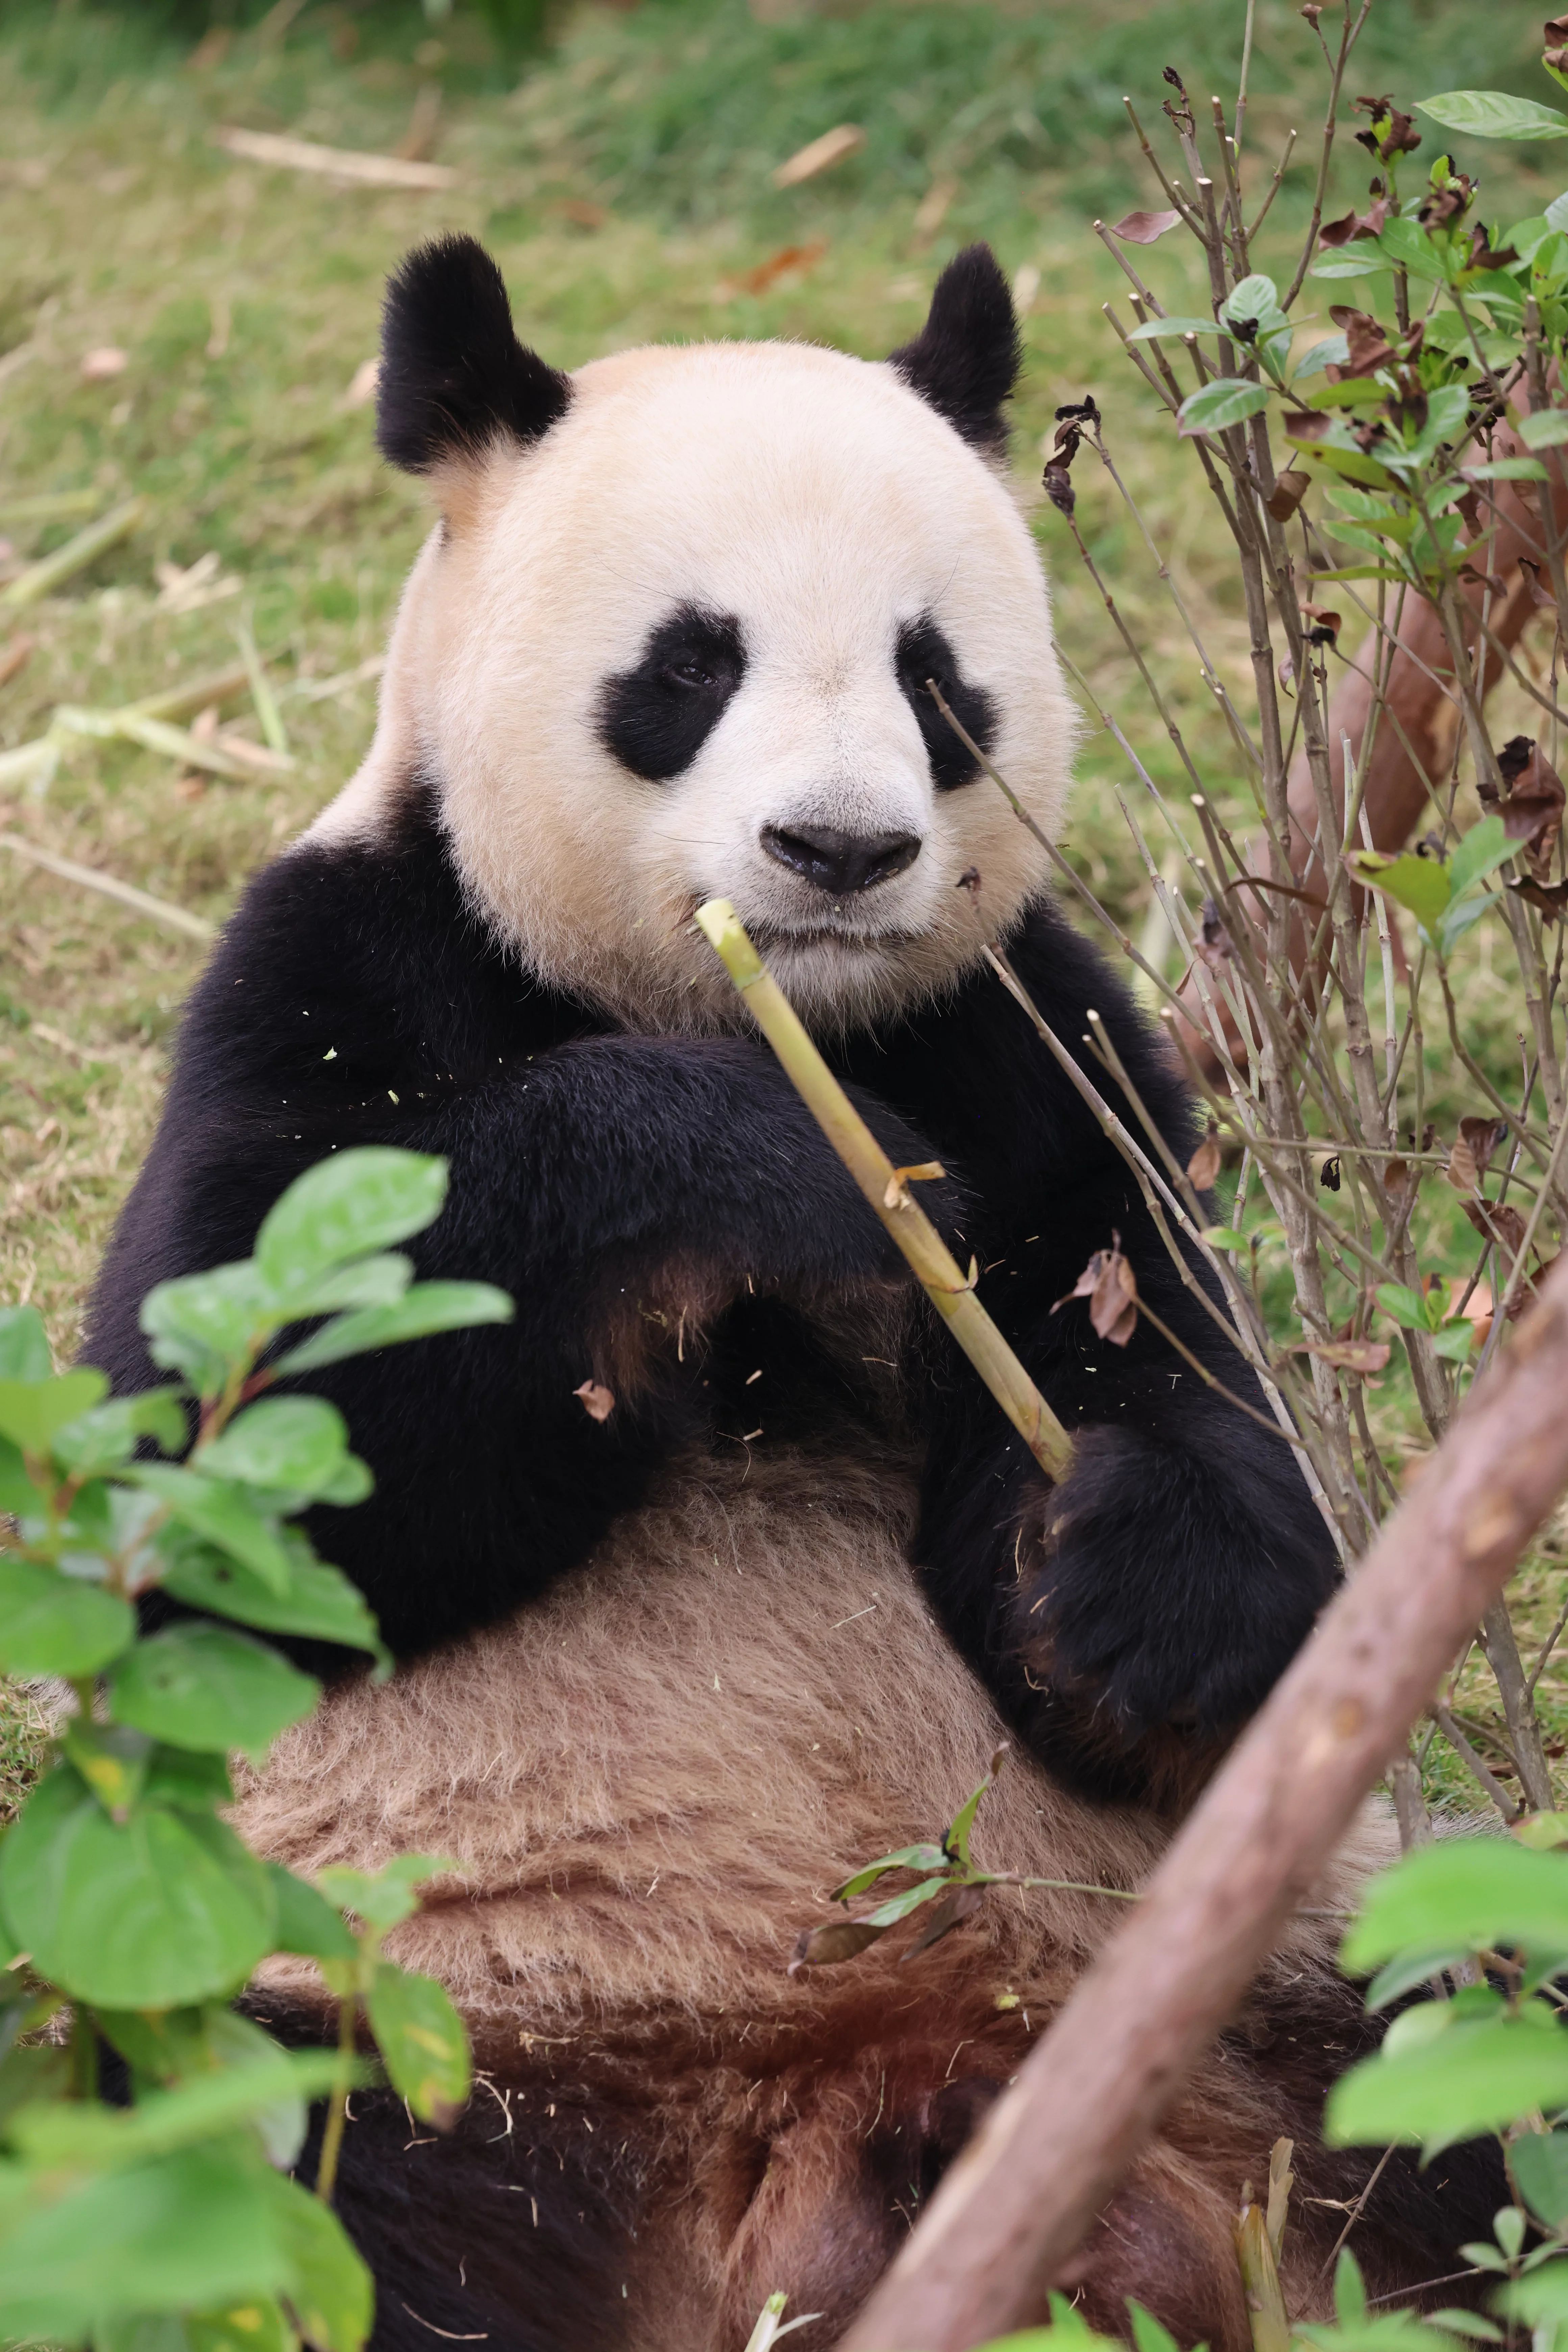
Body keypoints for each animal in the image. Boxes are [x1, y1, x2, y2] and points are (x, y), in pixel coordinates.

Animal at [86, 236, 1495, 2352]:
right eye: (689, 666)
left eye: (932, 677)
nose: (838, 850)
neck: (788, 1013)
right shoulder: (340, 956)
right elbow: (225, 1455)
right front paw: (778, 1166)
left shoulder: (1035, 1029)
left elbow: (1184, 1368)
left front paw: (1126, 1589)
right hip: (427, 2040)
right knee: (277, 2207)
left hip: (1295, 1982)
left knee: (1460, 2089)